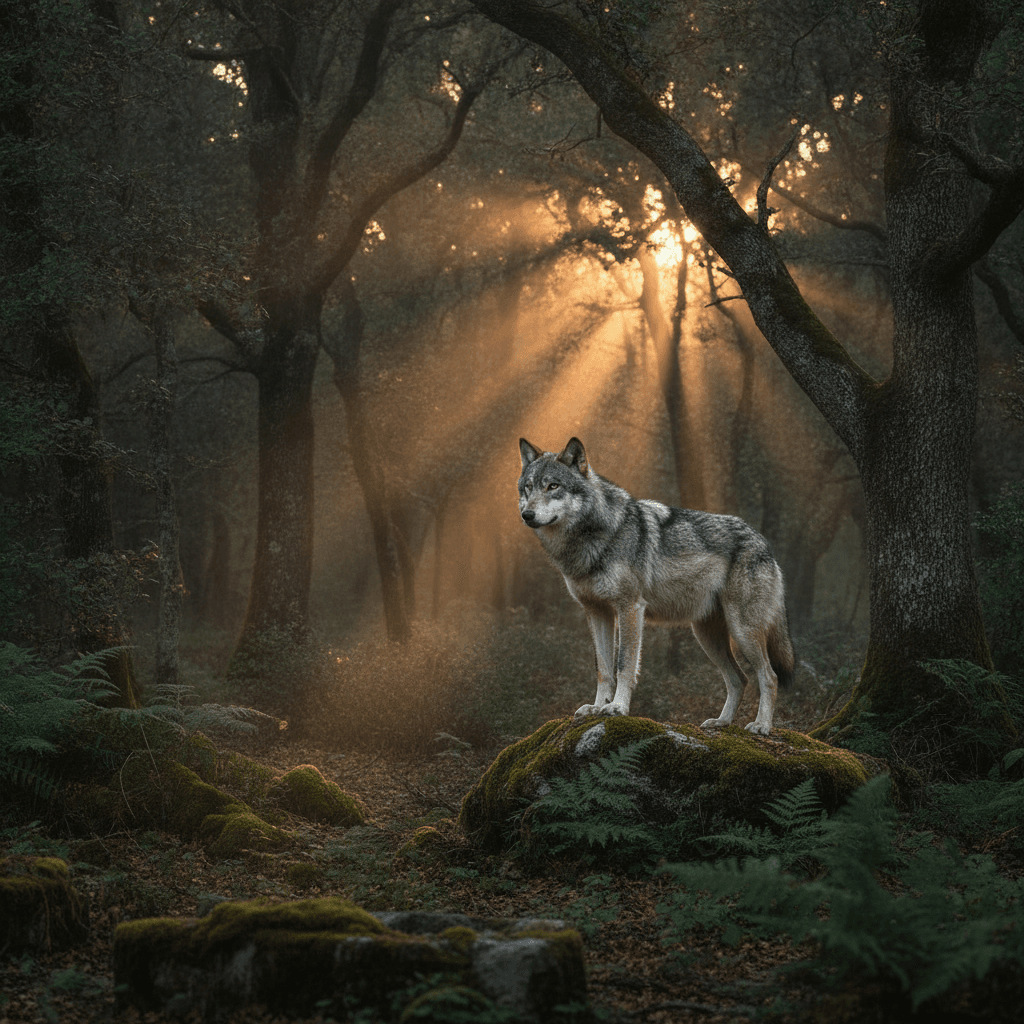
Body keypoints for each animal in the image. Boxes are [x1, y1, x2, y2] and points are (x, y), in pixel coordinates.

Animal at [518, 437, 794, 735]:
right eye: (528, 487)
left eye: (553, 486)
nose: (527, 514)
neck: (593, 537)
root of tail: (764, 542)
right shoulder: (596, 612)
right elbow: (603, 669)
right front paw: (596, 707)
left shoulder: (630, 608)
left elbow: (623, 665)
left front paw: (617, 707)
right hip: (707, 636)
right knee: (739, 679)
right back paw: (721, 723)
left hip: (742, 631)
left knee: (769, 676)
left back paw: (761, 725)